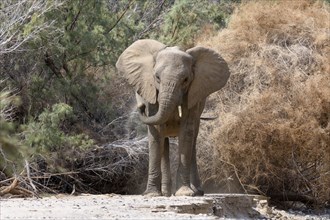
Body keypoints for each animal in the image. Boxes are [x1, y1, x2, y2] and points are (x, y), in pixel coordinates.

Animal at [116, 39, 229, 196]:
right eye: (157, 77)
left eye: (186, 80)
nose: (141, 106)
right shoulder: (152, 93)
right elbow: (156, 132)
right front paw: (152, 194)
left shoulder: (194, 94)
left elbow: (186, 131)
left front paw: (185, 193)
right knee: (164, 143)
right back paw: (165, 193)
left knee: (192, 141)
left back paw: (197, 191)